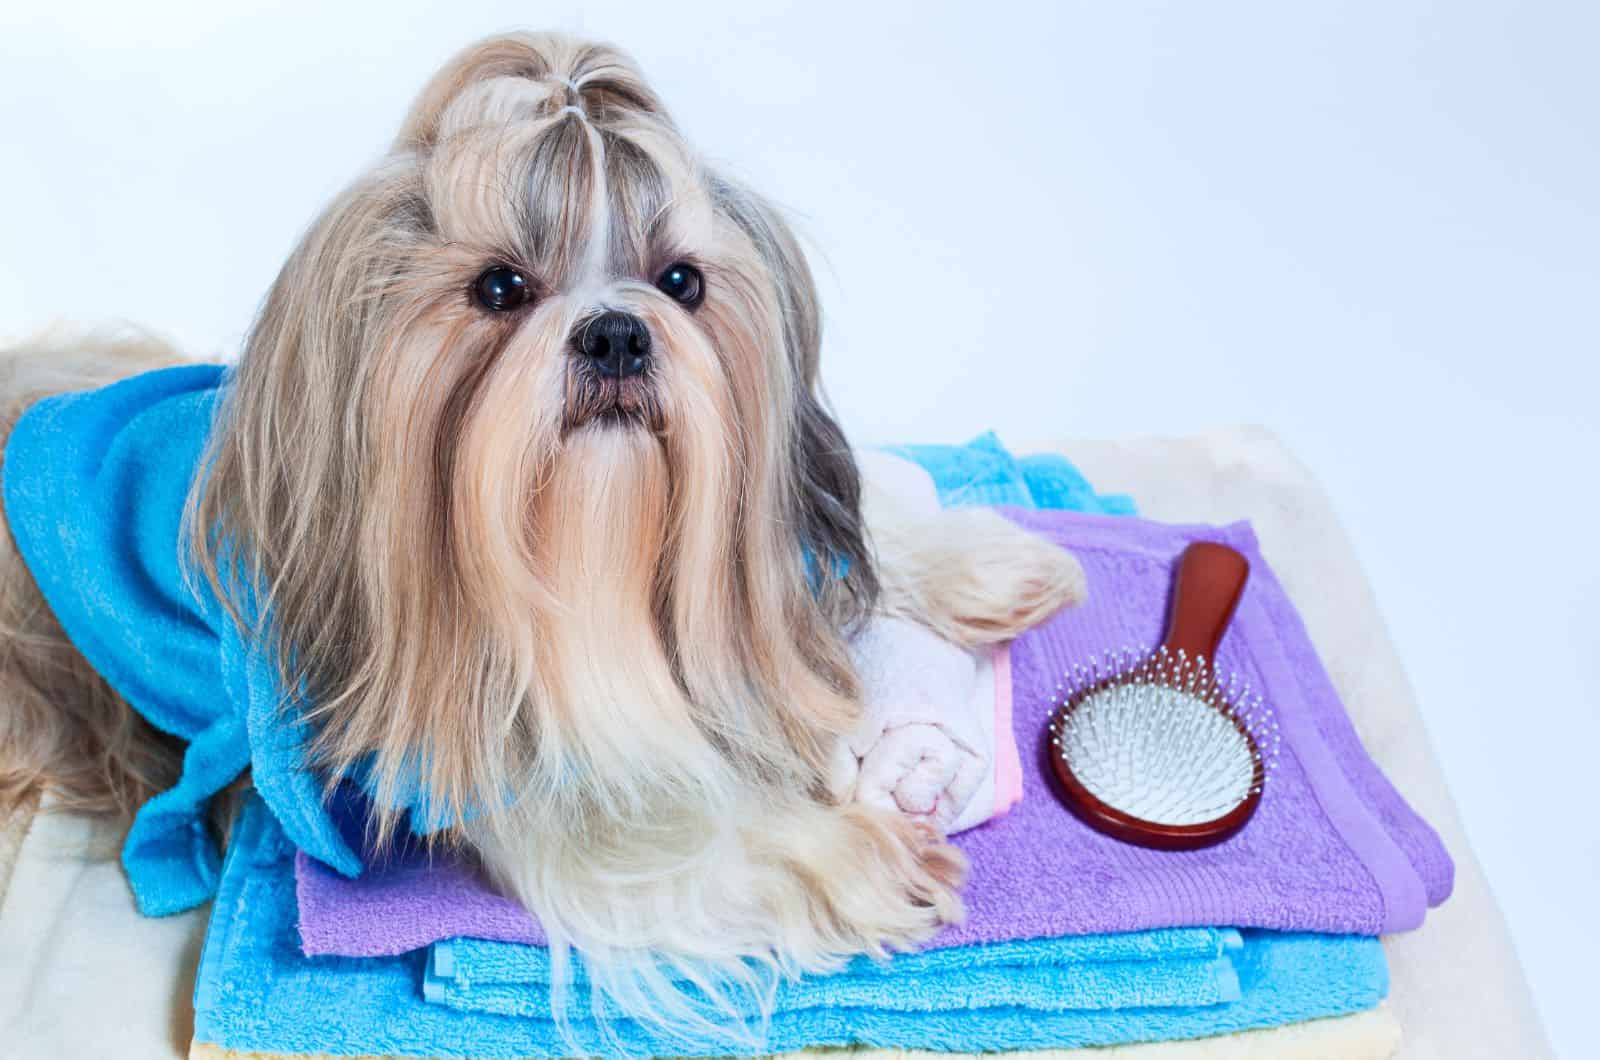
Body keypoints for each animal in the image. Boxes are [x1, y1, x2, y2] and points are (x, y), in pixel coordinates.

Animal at [0, 33, 1081, 1043]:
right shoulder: (496, 781)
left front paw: (982, 561)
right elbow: (672, 831)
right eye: (498, 288)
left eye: (680, 281)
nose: (616, 333)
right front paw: (850, 855)